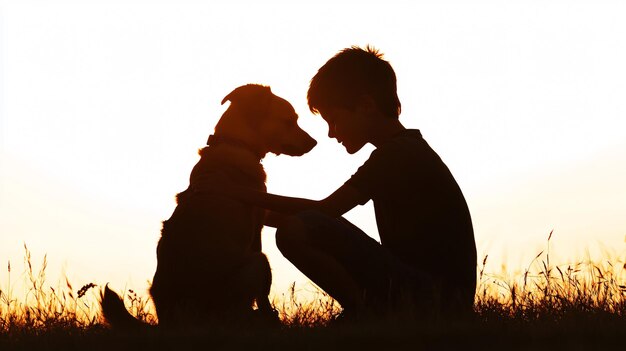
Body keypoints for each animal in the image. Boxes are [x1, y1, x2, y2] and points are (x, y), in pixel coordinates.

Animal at [103, 84, 316, 328]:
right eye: (290, 120)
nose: (314, 142)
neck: (235, 142)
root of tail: (170, 323)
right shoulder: (257, 231)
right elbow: (263, 295)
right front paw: (271, 315)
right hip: (257, 263)